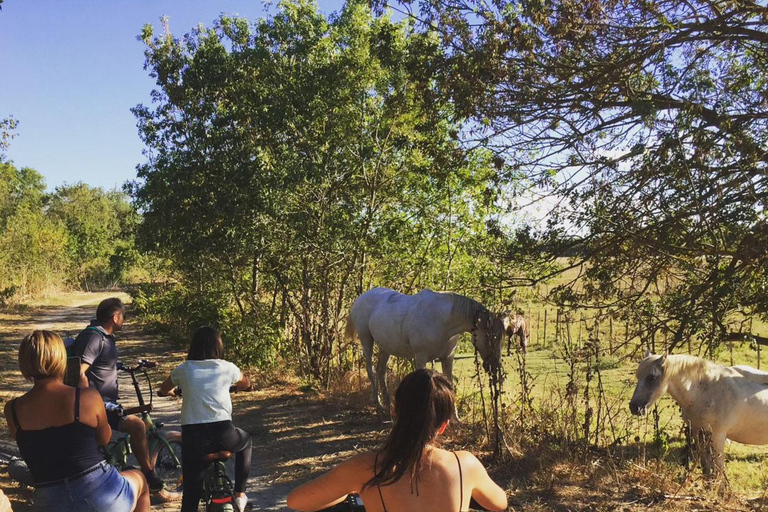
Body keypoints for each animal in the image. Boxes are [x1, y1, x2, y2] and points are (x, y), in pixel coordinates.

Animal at [346, 286, 504, 414]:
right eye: (491, 336)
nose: (494, 366)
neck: (442, 320)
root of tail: (360, 298)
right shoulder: (421, 357)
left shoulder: (448, 358)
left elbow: (450, 384)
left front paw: (455, 419)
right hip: (366, 340)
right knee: (371, 370)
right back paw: (377, 404)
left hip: (386, 347)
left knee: (381, 371)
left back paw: (387, 404)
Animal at [632, 354, 768, 474]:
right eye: (638, 376)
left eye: (652, 377)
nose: (634, 407)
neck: (704, 392)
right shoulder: (698, 432)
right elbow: (705, 465)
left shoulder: (718, 435)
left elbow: (718, 468)